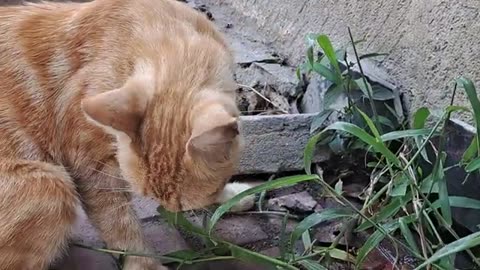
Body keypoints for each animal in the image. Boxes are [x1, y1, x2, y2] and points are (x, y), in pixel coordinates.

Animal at [0, 1, 255, 268]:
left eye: (181, 204)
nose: (171, 211)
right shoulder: (93, 170)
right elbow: (120, 226)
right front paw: (145, 263)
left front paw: (232, 196)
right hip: (52, 186)